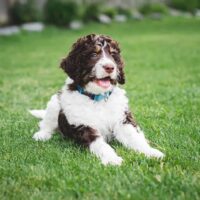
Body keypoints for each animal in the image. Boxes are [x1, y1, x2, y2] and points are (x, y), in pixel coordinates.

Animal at [29, 34, 164, 166]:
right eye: (93, 54)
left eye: (113, 55)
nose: (110, 67)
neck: (98, 98)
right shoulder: (83, 126)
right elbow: (100, 145)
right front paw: (112, 159)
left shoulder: (123, 119)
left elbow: (134, 137)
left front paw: (151, 153)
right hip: (55, 102)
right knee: (46, 123)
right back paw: (42, 135)